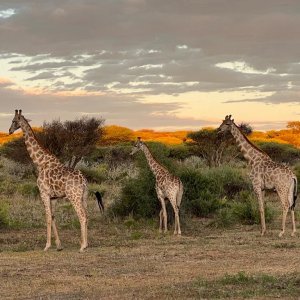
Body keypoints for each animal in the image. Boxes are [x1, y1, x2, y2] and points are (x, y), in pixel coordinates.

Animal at [8, 109, 88, 251]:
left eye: (13, 120)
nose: (9, 131)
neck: (40, 162)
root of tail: (84, 181)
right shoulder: (54, 197)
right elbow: (53, 216)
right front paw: (59, 245)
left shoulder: (43, 193)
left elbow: (47, 218)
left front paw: (47, 245)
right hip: (83, 196)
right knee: (87, 215)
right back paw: (86, 244)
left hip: (74, 196)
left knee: (82, 216)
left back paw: (82, 246)